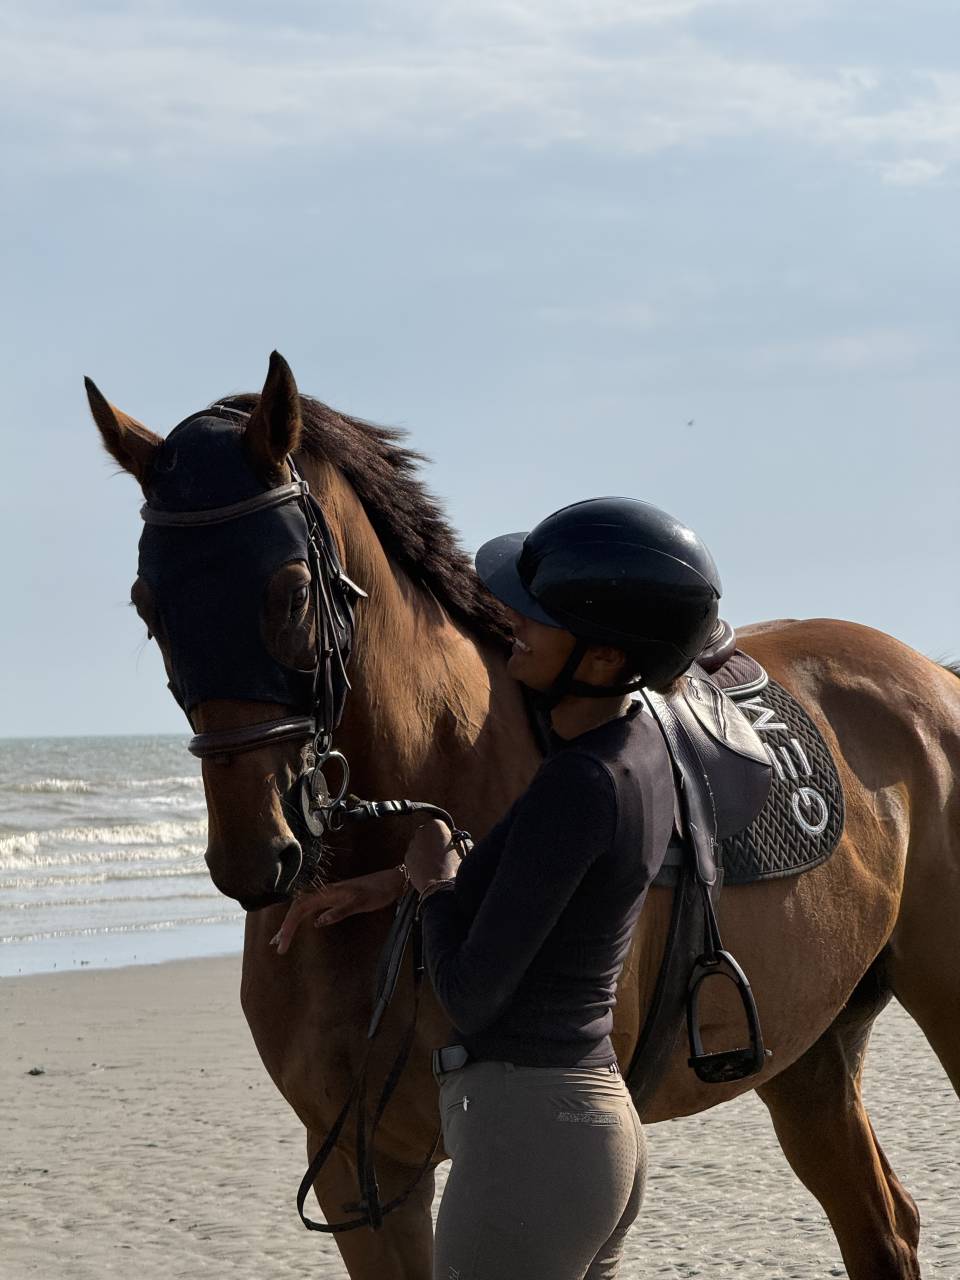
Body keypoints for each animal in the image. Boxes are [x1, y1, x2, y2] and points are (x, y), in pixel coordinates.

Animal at [87, 352, 960, 1280]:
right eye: (149, 603)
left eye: (289, 594)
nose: (259, 855)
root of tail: (929, 677)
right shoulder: (359, 1176)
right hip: (809, 1052)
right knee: (880, 1222)